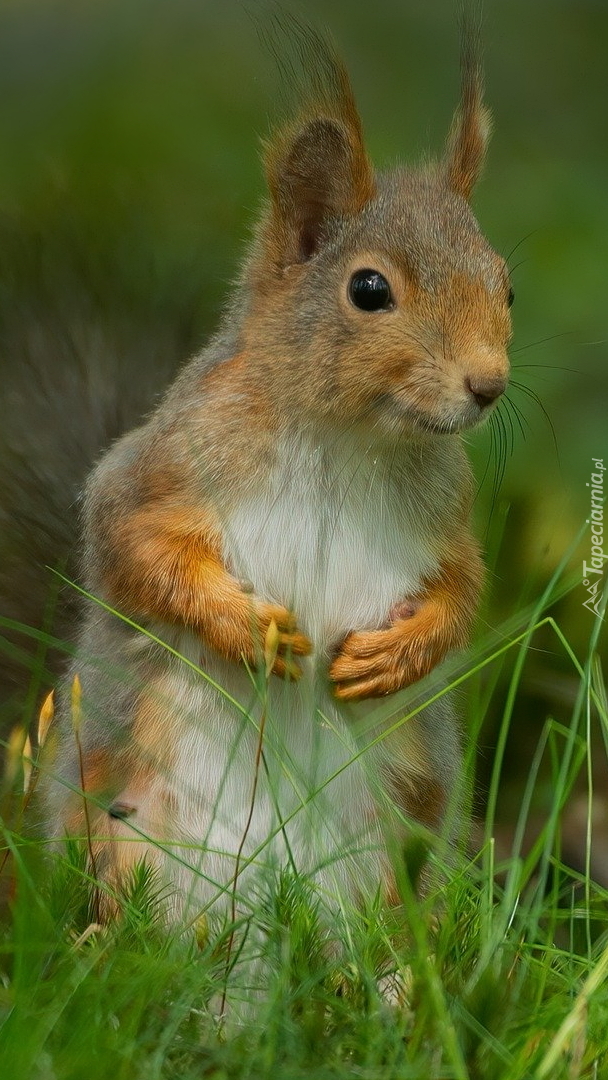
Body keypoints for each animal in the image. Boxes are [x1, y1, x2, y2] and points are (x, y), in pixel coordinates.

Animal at [35, 31, 514, 928]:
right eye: (369, 289)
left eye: (507, 283)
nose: (489, 384)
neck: (345, 438)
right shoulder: (166, 461)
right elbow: (130, 542)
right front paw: (250, 630)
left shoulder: (447, 513)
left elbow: (463, 588)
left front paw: (399, 655)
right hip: (122, 828)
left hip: (394, 851)